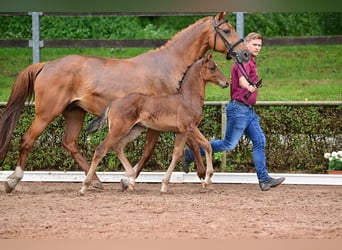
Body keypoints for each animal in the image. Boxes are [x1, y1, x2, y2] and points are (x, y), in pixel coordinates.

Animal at [80, 53, 228, 195]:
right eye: (212, 68)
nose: (226, 83)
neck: (187, 99)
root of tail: (113, 103)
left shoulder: (182, 132)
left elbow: (177, 154)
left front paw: (164, 185)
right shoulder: (190, 127)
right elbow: (207, 145)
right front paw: (207, 179)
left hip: (135, 129)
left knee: (117, 146)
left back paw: (131, 179)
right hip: (119, 129)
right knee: (101, 149)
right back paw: (85, 186)